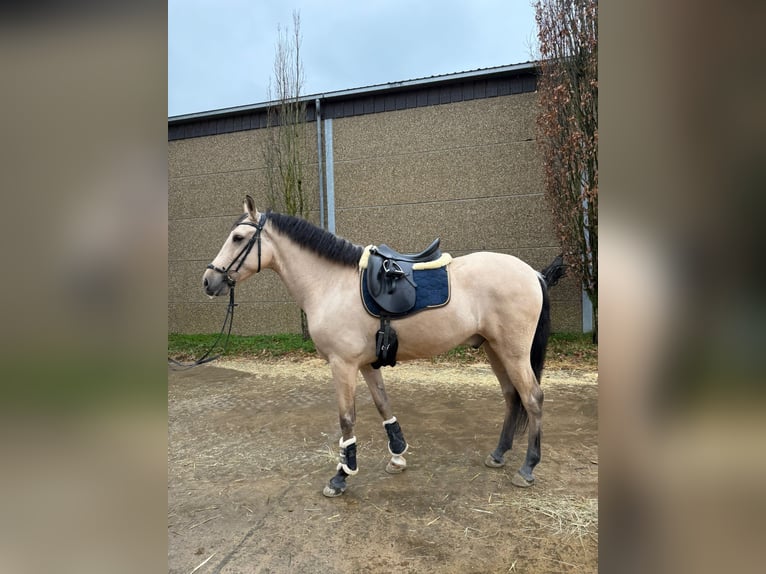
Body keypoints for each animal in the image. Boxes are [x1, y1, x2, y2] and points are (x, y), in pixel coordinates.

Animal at [202, 195, 551, 497]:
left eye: (237, 237)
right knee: (512, 396)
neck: (332, 284)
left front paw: (341, 476)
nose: (208, 281)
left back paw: (527, 468)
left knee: (532, 398)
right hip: (494, 349)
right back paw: (498, 453)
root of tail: (532, 273)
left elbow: (346, 419)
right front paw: (397, 456)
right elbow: (383, 404)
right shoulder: (368, 363)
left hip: (513, 352)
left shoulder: (342, 364)